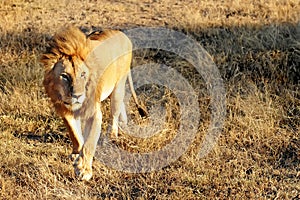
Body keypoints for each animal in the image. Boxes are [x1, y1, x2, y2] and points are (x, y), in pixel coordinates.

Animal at [41, 25, 146, 180]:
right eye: (65, 76)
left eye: (83, 74)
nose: (77, 96)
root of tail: (123, 35)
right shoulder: (65, 111)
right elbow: (75, 134)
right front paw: (76, 154)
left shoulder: (94, 113)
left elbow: (89, 142)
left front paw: (84, 170)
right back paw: (123, 123)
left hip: (118, 86)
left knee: (115, 111)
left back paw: (112, 135)